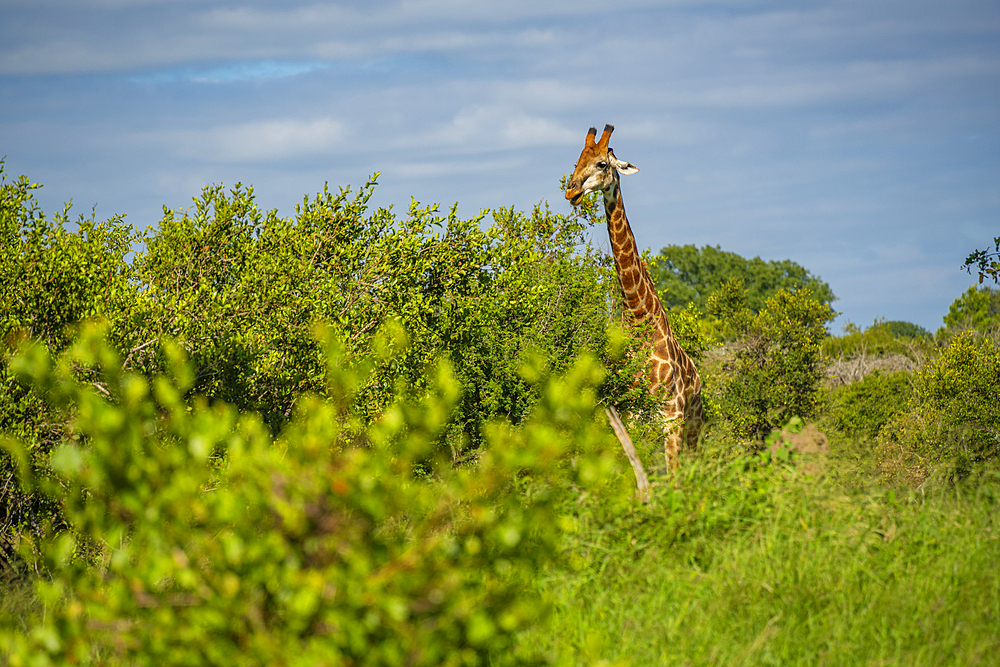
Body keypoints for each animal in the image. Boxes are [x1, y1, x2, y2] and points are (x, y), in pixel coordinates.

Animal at [568, 125, 708, 470]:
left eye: (602, 164)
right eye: (577, 161)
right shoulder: (629, 414)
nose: (571, 191)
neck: (637, 314)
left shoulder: (672, 418)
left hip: (694, 426)